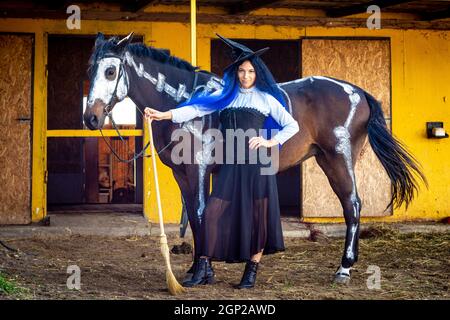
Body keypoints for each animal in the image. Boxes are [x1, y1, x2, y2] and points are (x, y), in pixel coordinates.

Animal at [83, 32, 426, 282]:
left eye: (110, 71)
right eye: (90, 70)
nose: (91, 118)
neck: (185, 101)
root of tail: (358, 92)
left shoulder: (199, 169)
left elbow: (201, 213)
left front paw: (204, 272)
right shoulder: (183, 174)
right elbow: (193, 217)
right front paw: (195, 268)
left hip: (338, 159)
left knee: (352, 205)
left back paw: (344, 268)